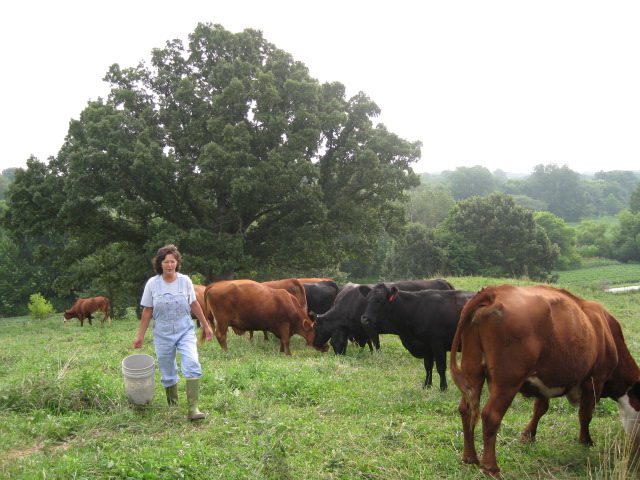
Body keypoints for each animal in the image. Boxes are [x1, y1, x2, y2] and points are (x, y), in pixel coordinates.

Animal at [201, 280, 330, 354]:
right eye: (318, 333)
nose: (327, 347)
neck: (290, 303)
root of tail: (213, 286)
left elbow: (282, 340)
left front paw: (281, 351)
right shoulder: (284, 324)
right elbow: (286, 340)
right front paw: (288, 354)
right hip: (222, 320)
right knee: (221, 335)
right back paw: (226, 351)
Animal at [314, 280, 456, 354]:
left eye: (316, 327)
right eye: (332, 343)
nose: (315, 344)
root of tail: (442, 281)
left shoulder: (370, 326)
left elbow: (375, 344)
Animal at [450, 284, 640, 476]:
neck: (607, 331)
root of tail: (494, 291)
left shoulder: (544, 381)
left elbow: (540, 408)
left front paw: (528, 436)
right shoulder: (595, 380)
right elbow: (585, 415)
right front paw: (586, 441)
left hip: (472, 370)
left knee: (467, 409)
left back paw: (470, 458)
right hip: (508, 380)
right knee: (491, 415)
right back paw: (490, 467)